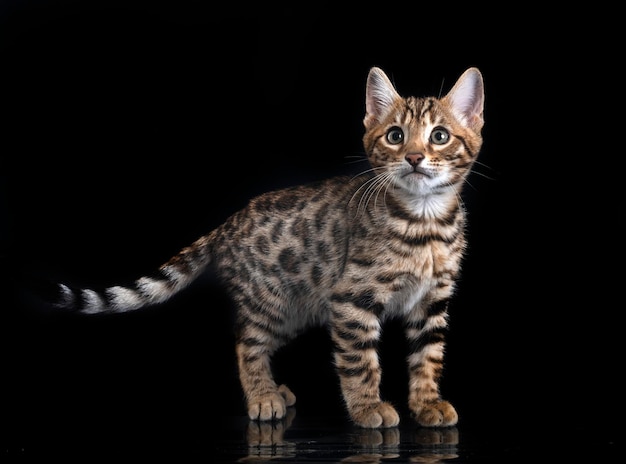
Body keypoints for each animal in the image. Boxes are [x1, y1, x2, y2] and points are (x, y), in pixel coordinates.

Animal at [50, 65, 488, 428]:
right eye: (396, 136)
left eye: (439, 136)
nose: (414, 157)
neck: (425, 223)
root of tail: (228, 222)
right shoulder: (351, 300)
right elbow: (359, 360)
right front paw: (367, 408)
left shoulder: (432, 301)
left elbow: (428, 357)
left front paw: (427, 403)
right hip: (270, 301)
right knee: (246, 343)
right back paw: (262, 396)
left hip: (298, 309)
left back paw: (273, 390)